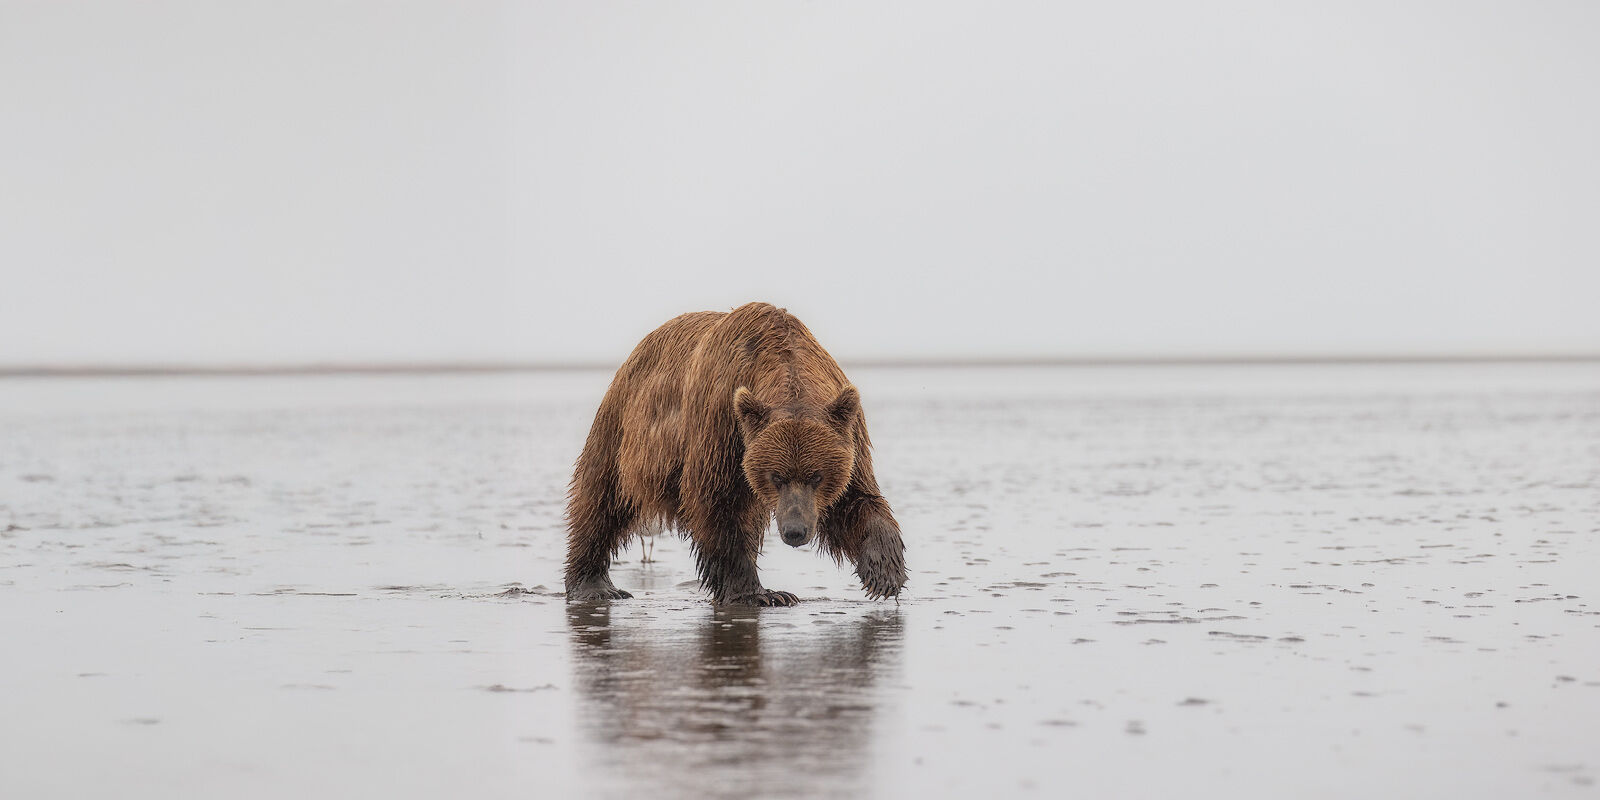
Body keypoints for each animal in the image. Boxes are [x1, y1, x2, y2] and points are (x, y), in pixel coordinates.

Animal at [564, 302, 907, 606]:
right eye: (777, 476)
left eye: (817, 476)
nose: (795, 531)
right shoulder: (723, 424)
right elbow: (718, 502)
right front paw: (761, 594)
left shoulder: (847, 431)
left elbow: (856, 498)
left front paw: (885, 574)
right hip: (623, 427)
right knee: (601, 498)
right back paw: (594, 585)